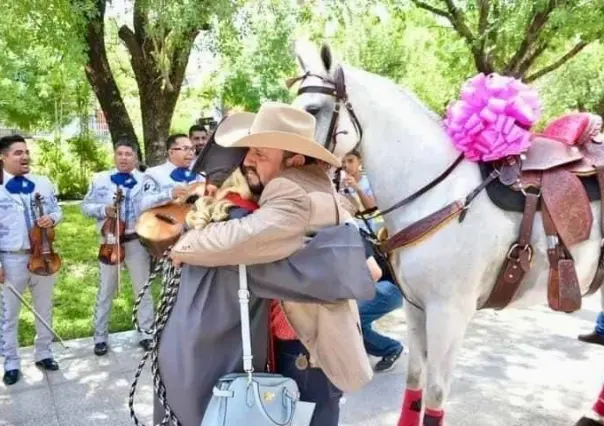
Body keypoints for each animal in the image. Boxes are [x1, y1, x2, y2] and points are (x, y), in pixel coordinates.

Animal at [290, 38, 600, 424]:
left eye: (313, 110)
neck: (438, 192)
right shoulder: (416, 308)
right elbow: (415, 382)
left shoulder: (449, 313)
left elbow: (436, 394)